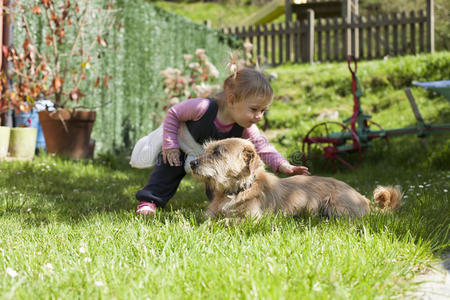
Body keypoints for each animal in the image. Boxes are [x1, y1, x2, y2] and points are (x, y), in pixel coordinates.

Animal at [190, 138, 400, 218]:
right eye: (208, 149)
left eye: (217, 152)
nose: (192, 163)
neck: (237, 191)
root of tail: (363, 198)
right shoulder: (209, 215)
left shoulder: (250, 219)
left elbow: (225, 222)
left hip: (337, 207)